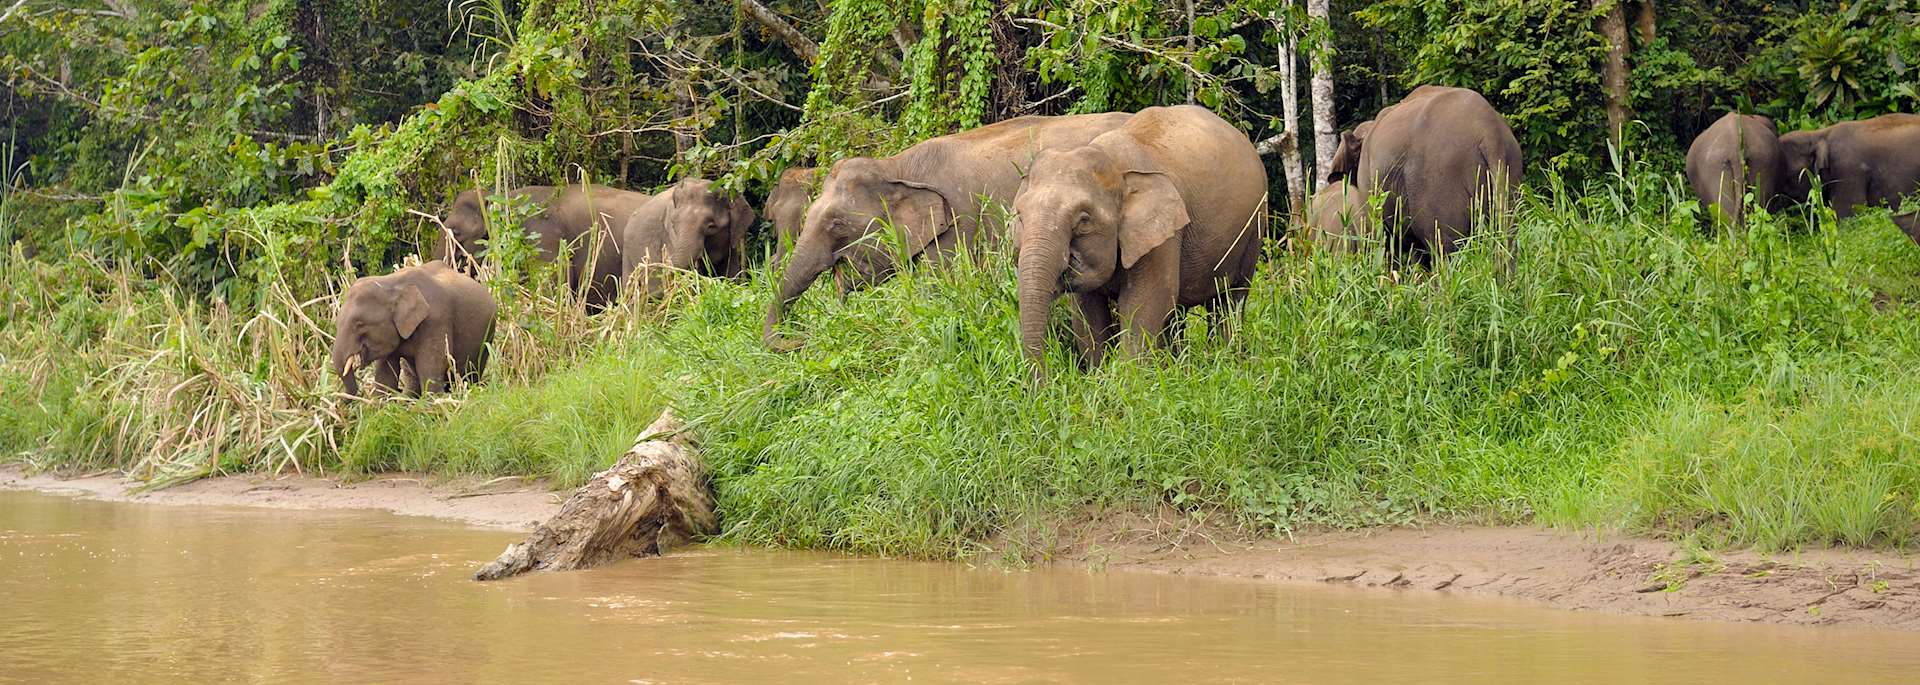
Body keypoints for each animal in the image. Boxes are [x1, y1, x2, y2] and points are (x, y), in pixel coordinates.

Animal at [331, 260, 496, 398]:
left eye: (359, 324)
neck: (390, 284)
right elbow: (386, 374)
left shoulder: (436, 320)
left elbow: (430, 366)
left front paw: (433, 404)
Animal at [1012, 105, 1267, 368]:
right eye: (1020, 216)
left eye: (1084, 220)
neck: (1113, 162)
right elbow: (1087, 313)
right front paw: (1098, 372)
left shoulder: (1163, 235)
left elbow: (1144, 303)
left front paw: (1130, 375)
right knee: (1179, 313)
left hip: (1254, 228)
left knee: (1229, 299)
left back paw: (1227, 359)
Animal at [1329, 85, 1523, 268]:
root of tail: (1489, 131)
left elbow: (1384, 238)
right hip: (1510, 169)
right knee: (1508, 233)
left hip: (1437, 181)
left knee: (1444, 247)